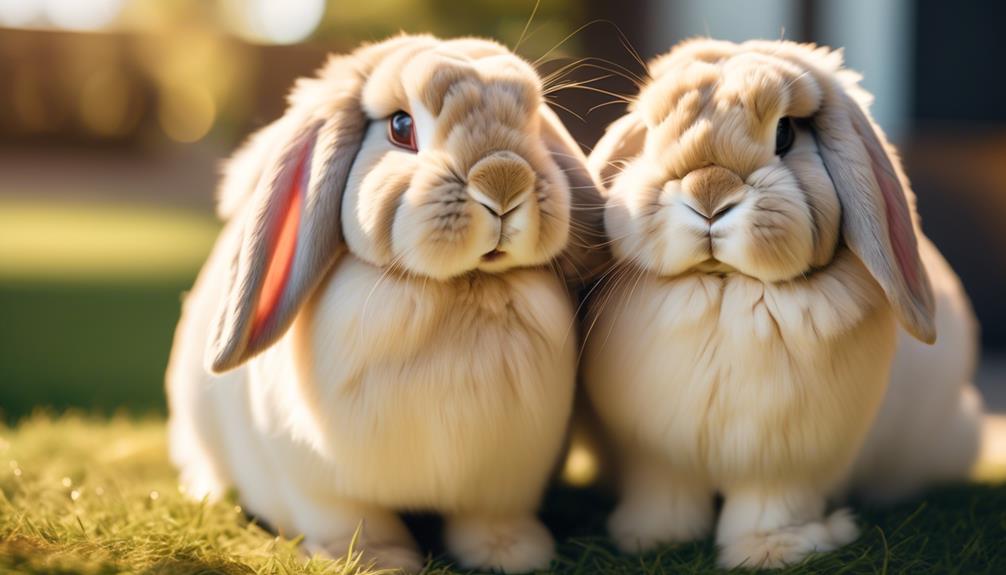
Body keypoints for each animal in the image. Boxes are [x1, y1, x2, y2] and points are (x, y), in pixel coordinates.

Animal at [165, 33, 603, 570]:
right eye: (401, 126)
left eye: (534, 123)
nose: (503, 180)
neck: (459, 288)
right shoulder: (324, 488)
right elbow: (357, 522)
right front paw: (373, 560)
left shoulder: (504, 484)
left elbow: (490, 520)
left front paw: (512, 554)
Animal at [583, 38, 981, 566]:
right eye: (650, 135)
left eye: (785, 133)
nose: (709, 196)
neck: (726, 291)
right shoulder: (654, 454)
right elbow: (663, 495)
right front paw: (651, 538)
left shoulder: (786, 460)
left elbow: (770, 504)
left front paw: (772, 550)